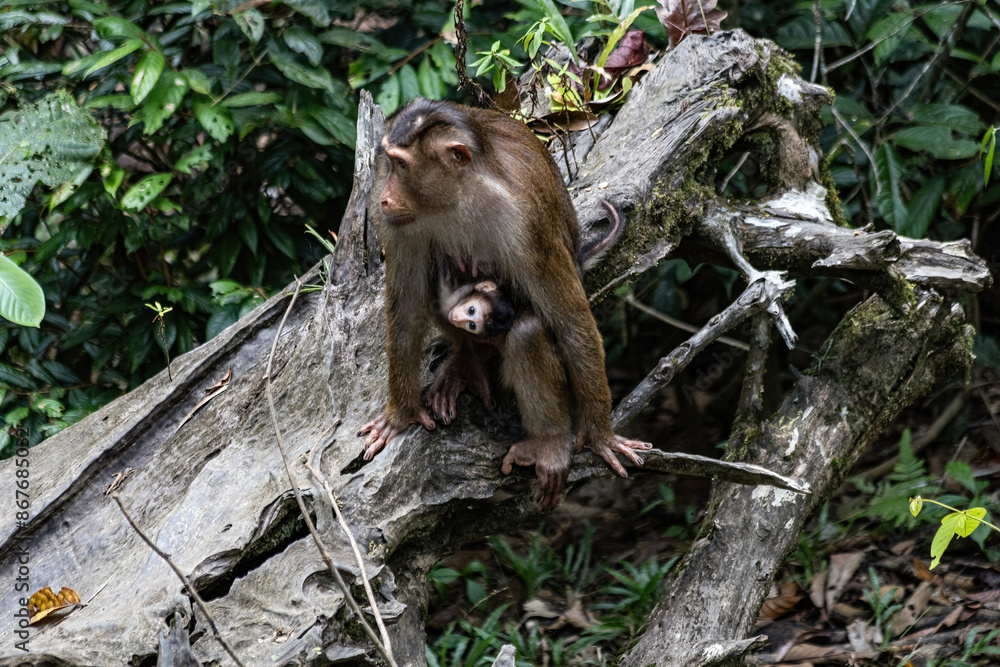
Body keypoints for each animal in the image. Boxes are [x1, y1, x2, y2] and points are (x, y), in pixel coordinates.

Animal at [358, 98, 651, 509]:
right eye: (388, 162)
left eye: (402, 165)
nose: (383, 197)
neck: (457, 197)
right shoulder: (400, 224)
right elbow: (408, 307)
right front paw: (400, 414)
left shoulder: (524, 222)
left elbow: (570, 322)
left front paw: (600, 437)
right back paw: (466, 360)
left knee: (527, 331)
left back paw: (547, 443)